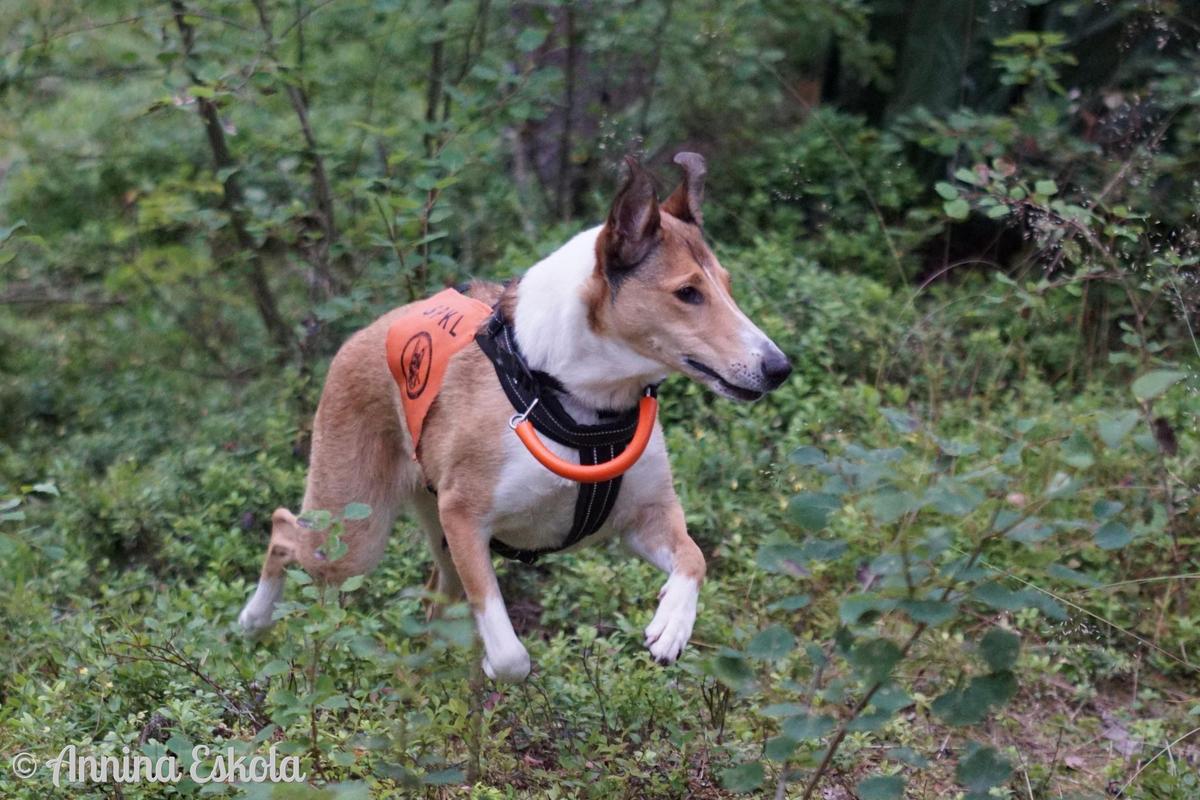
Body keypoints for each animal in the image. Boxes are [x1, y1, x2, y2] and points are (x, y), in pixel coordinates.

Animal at [238, 153, 791, 682]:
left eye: (726, 286)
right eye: (687, 293)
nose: (779, 368)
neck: (576, 400)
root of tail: (365, 332)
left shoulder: (643, 519)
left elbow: (695, 558)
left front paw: (671, 626)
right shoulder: (466, 519)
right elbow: (509, 654)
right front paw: (494, 665)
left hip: (424, 537)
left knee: (434, 600)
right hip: (354, 534)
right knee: (283, 530)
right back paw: (253, 620)